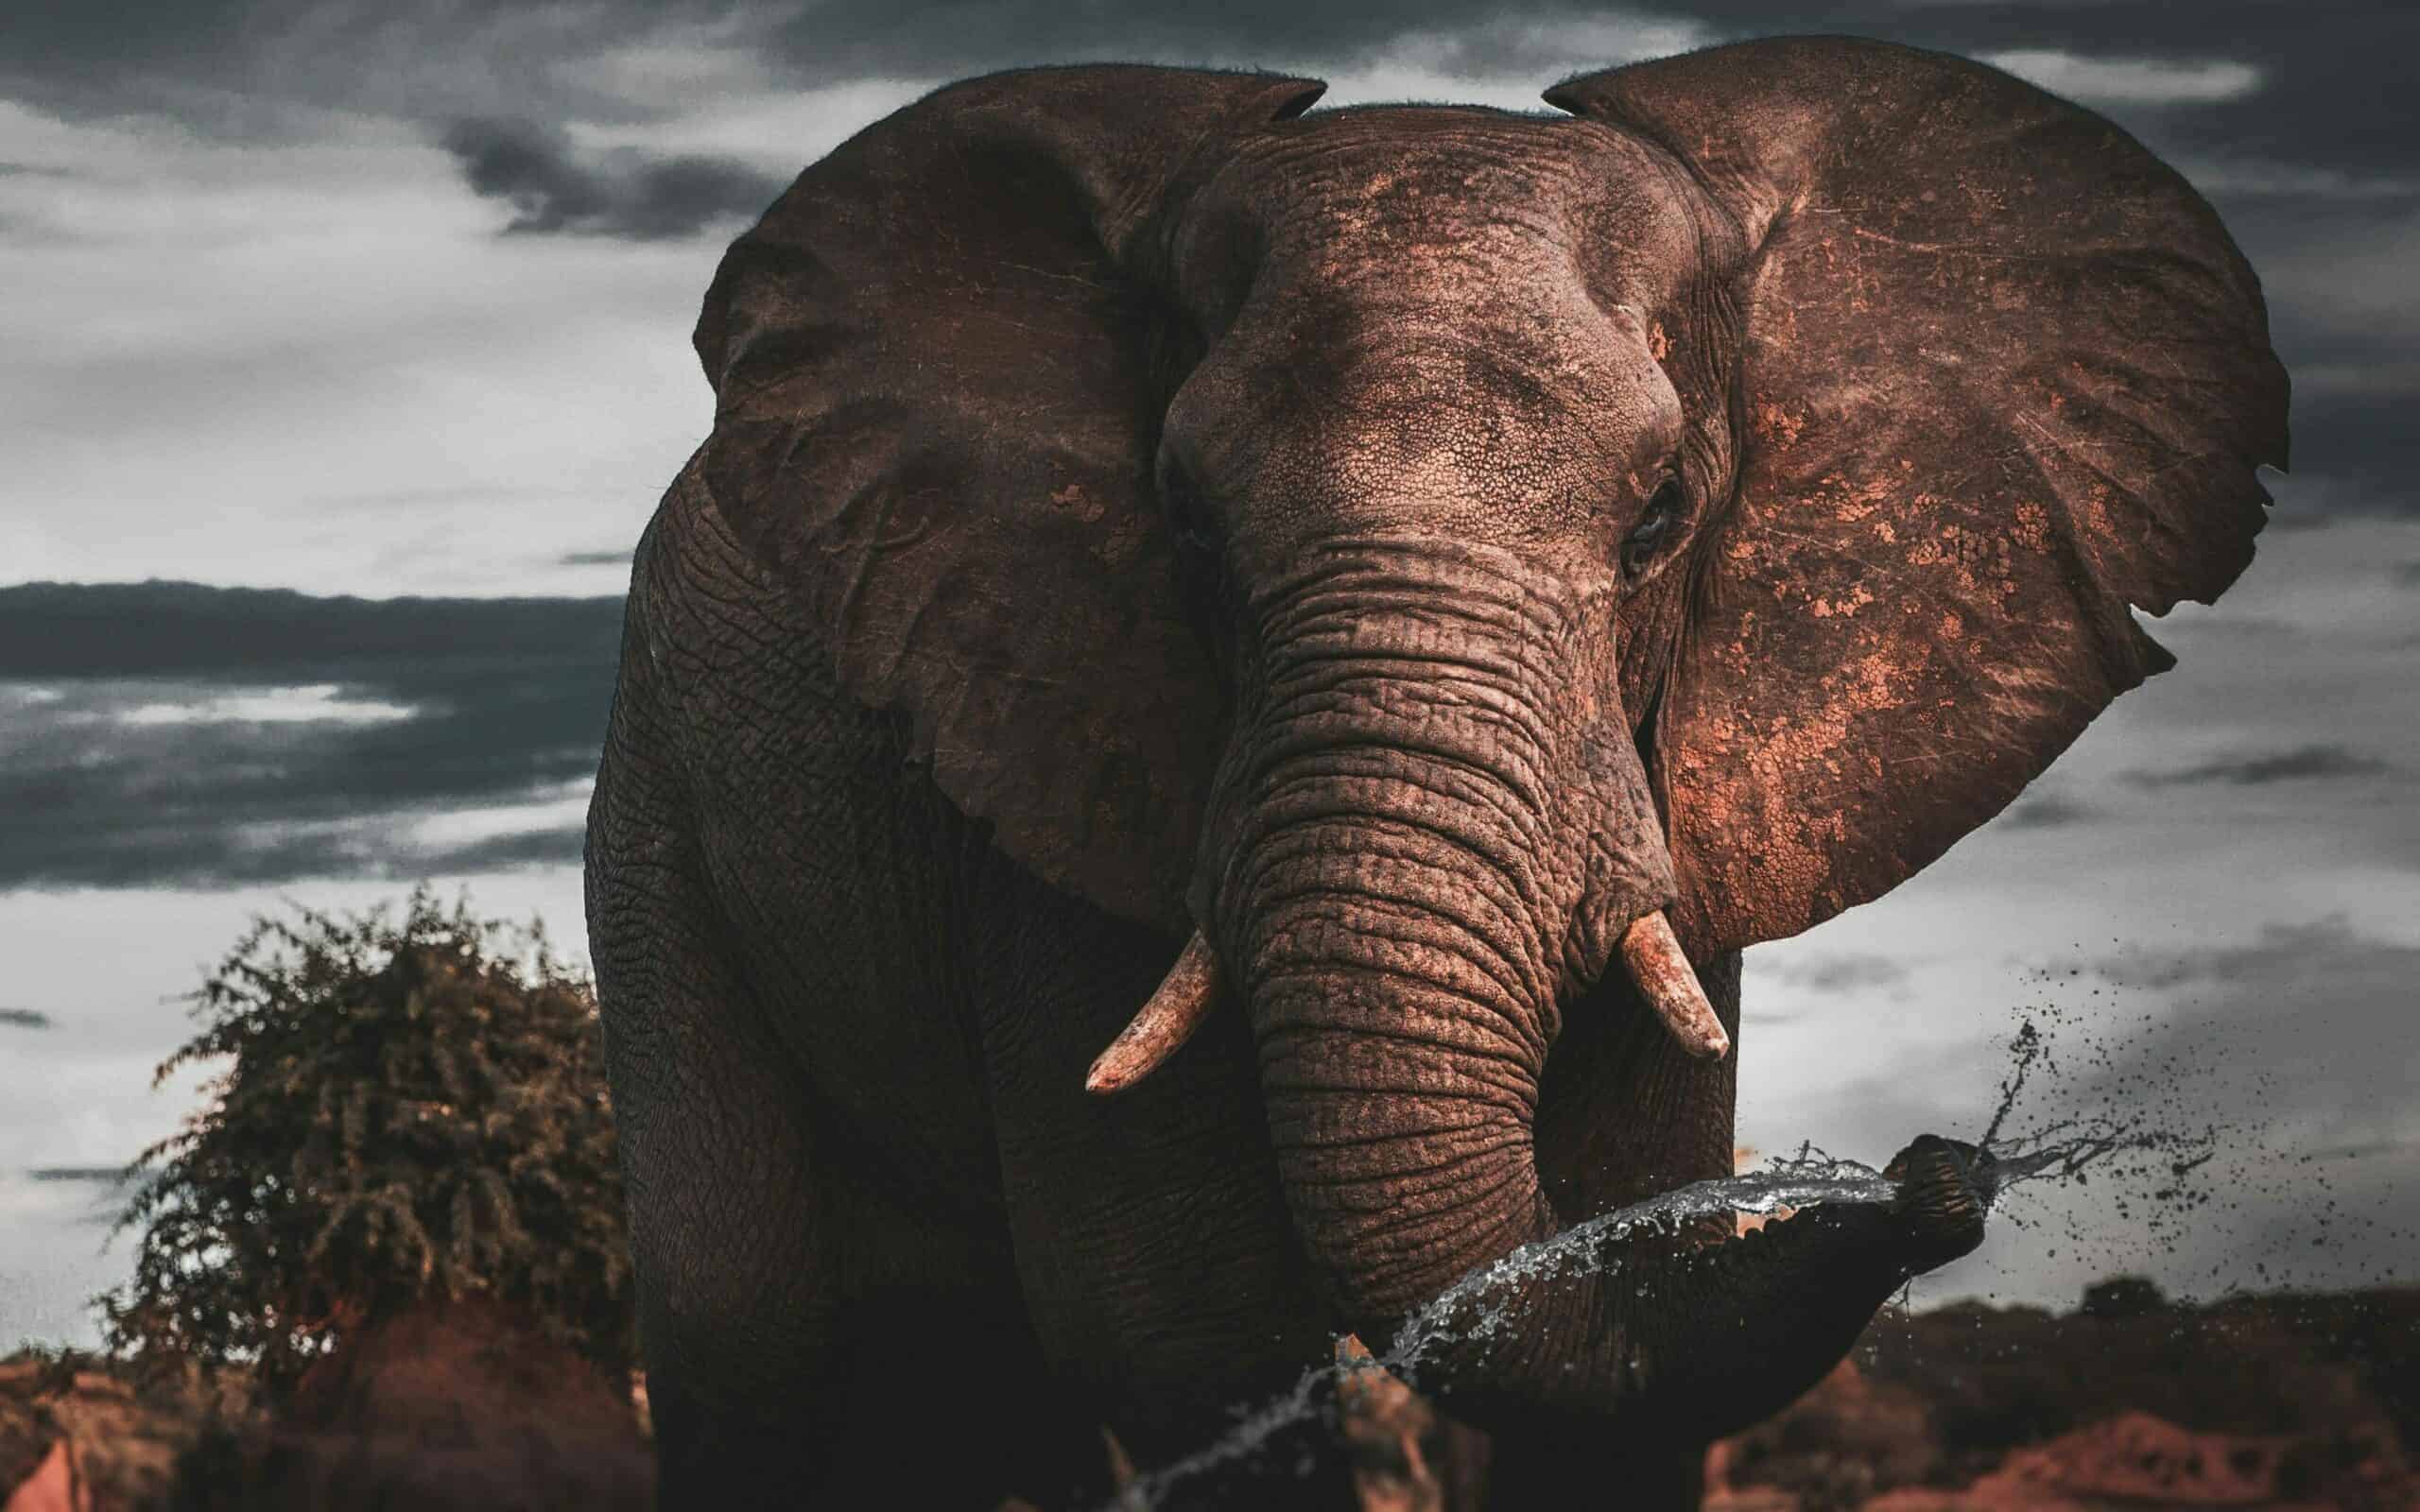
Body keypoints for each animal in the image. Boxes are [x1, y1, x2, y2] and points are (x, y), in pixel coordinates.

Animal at [583, 34, 2286, 1511]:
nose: (1939, 1175)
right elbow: (1178, 1333)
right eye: (1181, 519)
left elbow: (1620, 1312)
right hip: (656, 812)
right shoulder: (1061, 758)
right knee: (755, 1347)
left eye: (1662, 514)